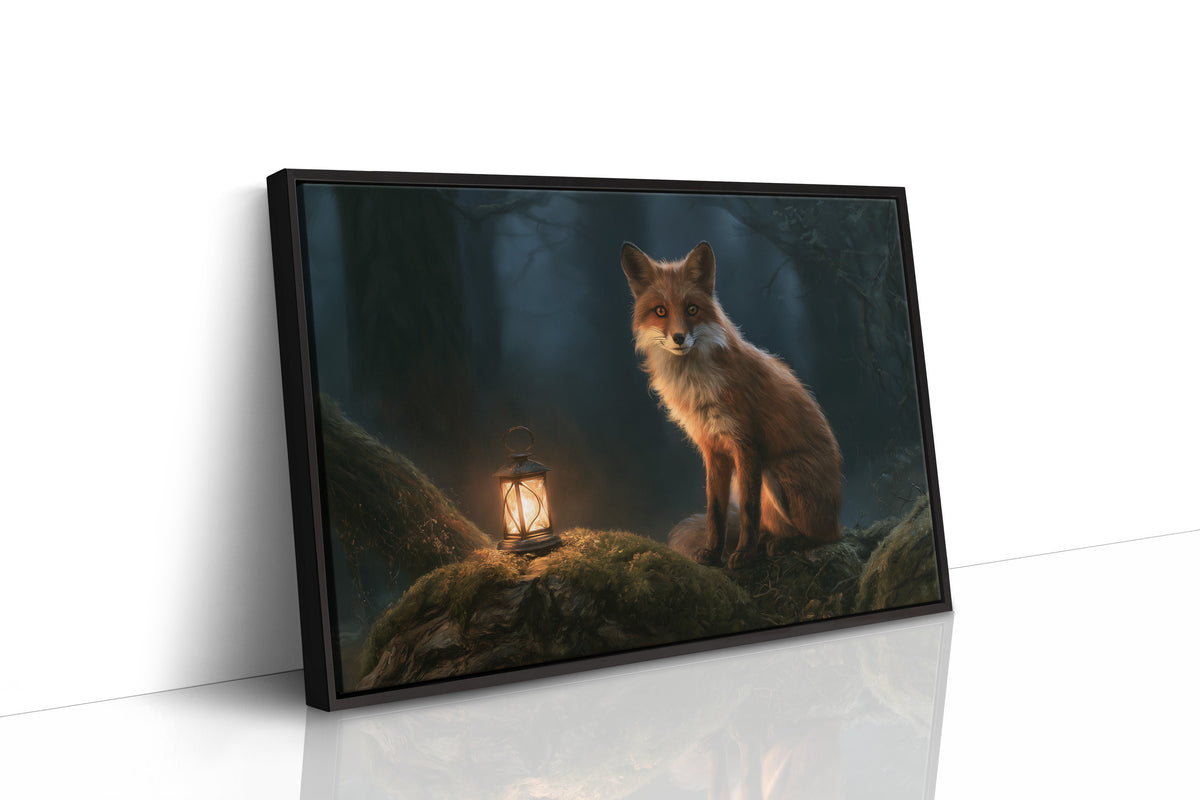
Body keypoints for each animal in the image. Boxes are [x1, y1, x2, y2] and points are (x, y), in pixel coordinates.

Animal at [621, 241, 843, 569]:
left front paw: (743, 554)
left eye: (692, 309)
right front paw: (713, 553)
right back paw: (768, 542)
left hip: (776, 474)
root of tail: (838, 518)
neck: (696, 384)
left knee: (819, 537)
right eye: (660, 311)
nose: (679, 338)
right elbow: (715, 511)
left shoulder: (747, 444)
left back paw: (783, 544)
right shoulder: (712, 448)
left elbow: (749, 510)